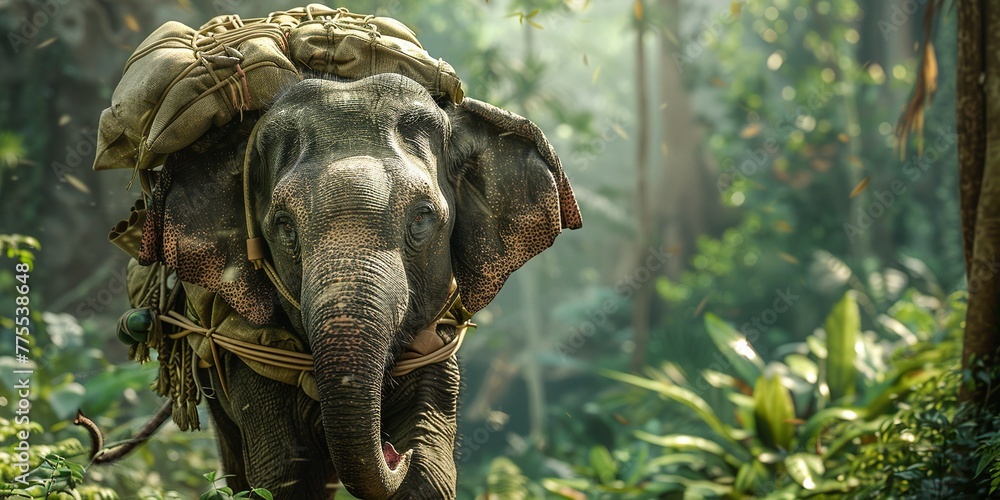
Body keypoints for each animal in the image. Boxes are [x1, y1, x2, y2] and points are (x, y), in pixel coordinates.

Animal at [132, 73, 582, 498]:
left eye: (422, 216)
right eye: (285, 226)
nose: (394, 452)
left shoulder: (436, 347)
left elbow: (430, 474)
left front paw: (418, 454)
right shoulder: (250, 354)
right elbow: (284, 478)